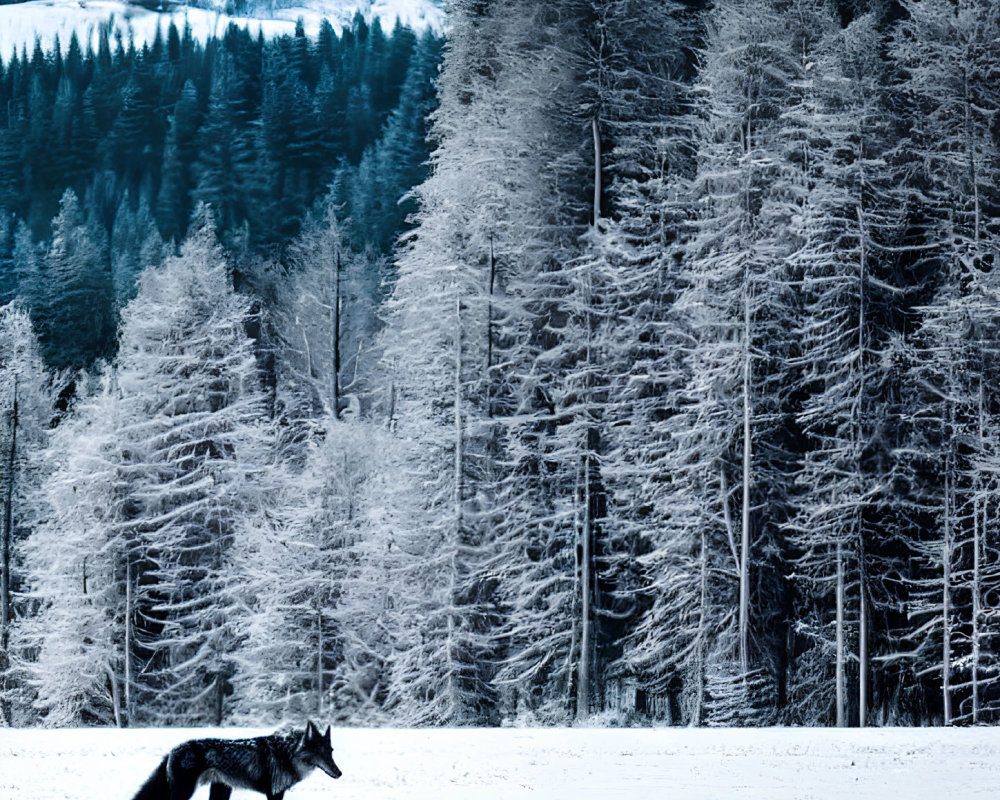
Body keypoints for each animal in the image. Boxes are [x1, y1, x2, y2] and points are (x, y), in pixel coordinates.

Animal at [131, 720, 342, 800]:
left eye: (331, 751)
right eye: (321, 753)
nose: (339, 773)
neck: (287, 754)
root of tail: (173, 750)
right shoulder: (274, 794)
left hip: (221, 791)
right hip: (185, 792)